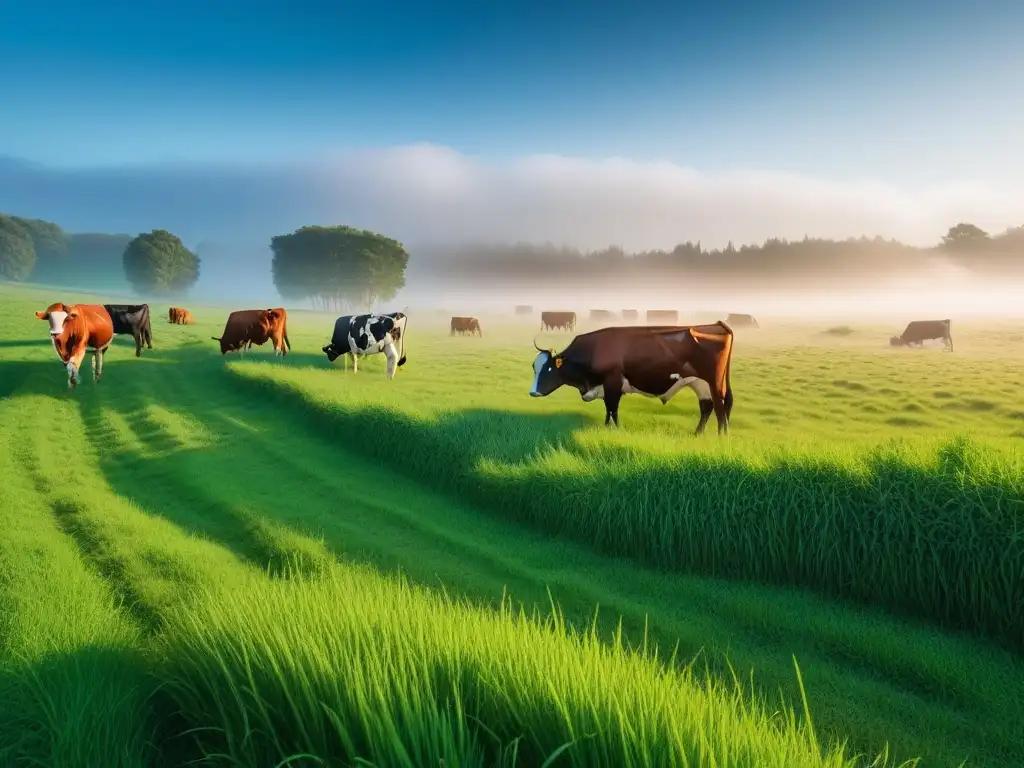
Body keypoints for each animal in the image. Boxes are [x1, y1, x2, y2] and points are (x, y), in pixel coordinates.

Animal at [528, 321, 737, 436]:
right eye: (534, 367)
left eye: (548, 368)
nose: (533, 392)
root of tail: (718, 325)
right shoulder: (605, 386)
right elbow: (607, 409)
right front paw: (606, 428)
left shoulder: (613, 381)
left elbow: (613, 408)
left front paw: (616, 429)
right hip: (700, 383)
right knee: (707, 407)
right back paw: (697, 434)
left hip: (714, 382)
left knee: (720, 407)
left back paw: (721, 436)